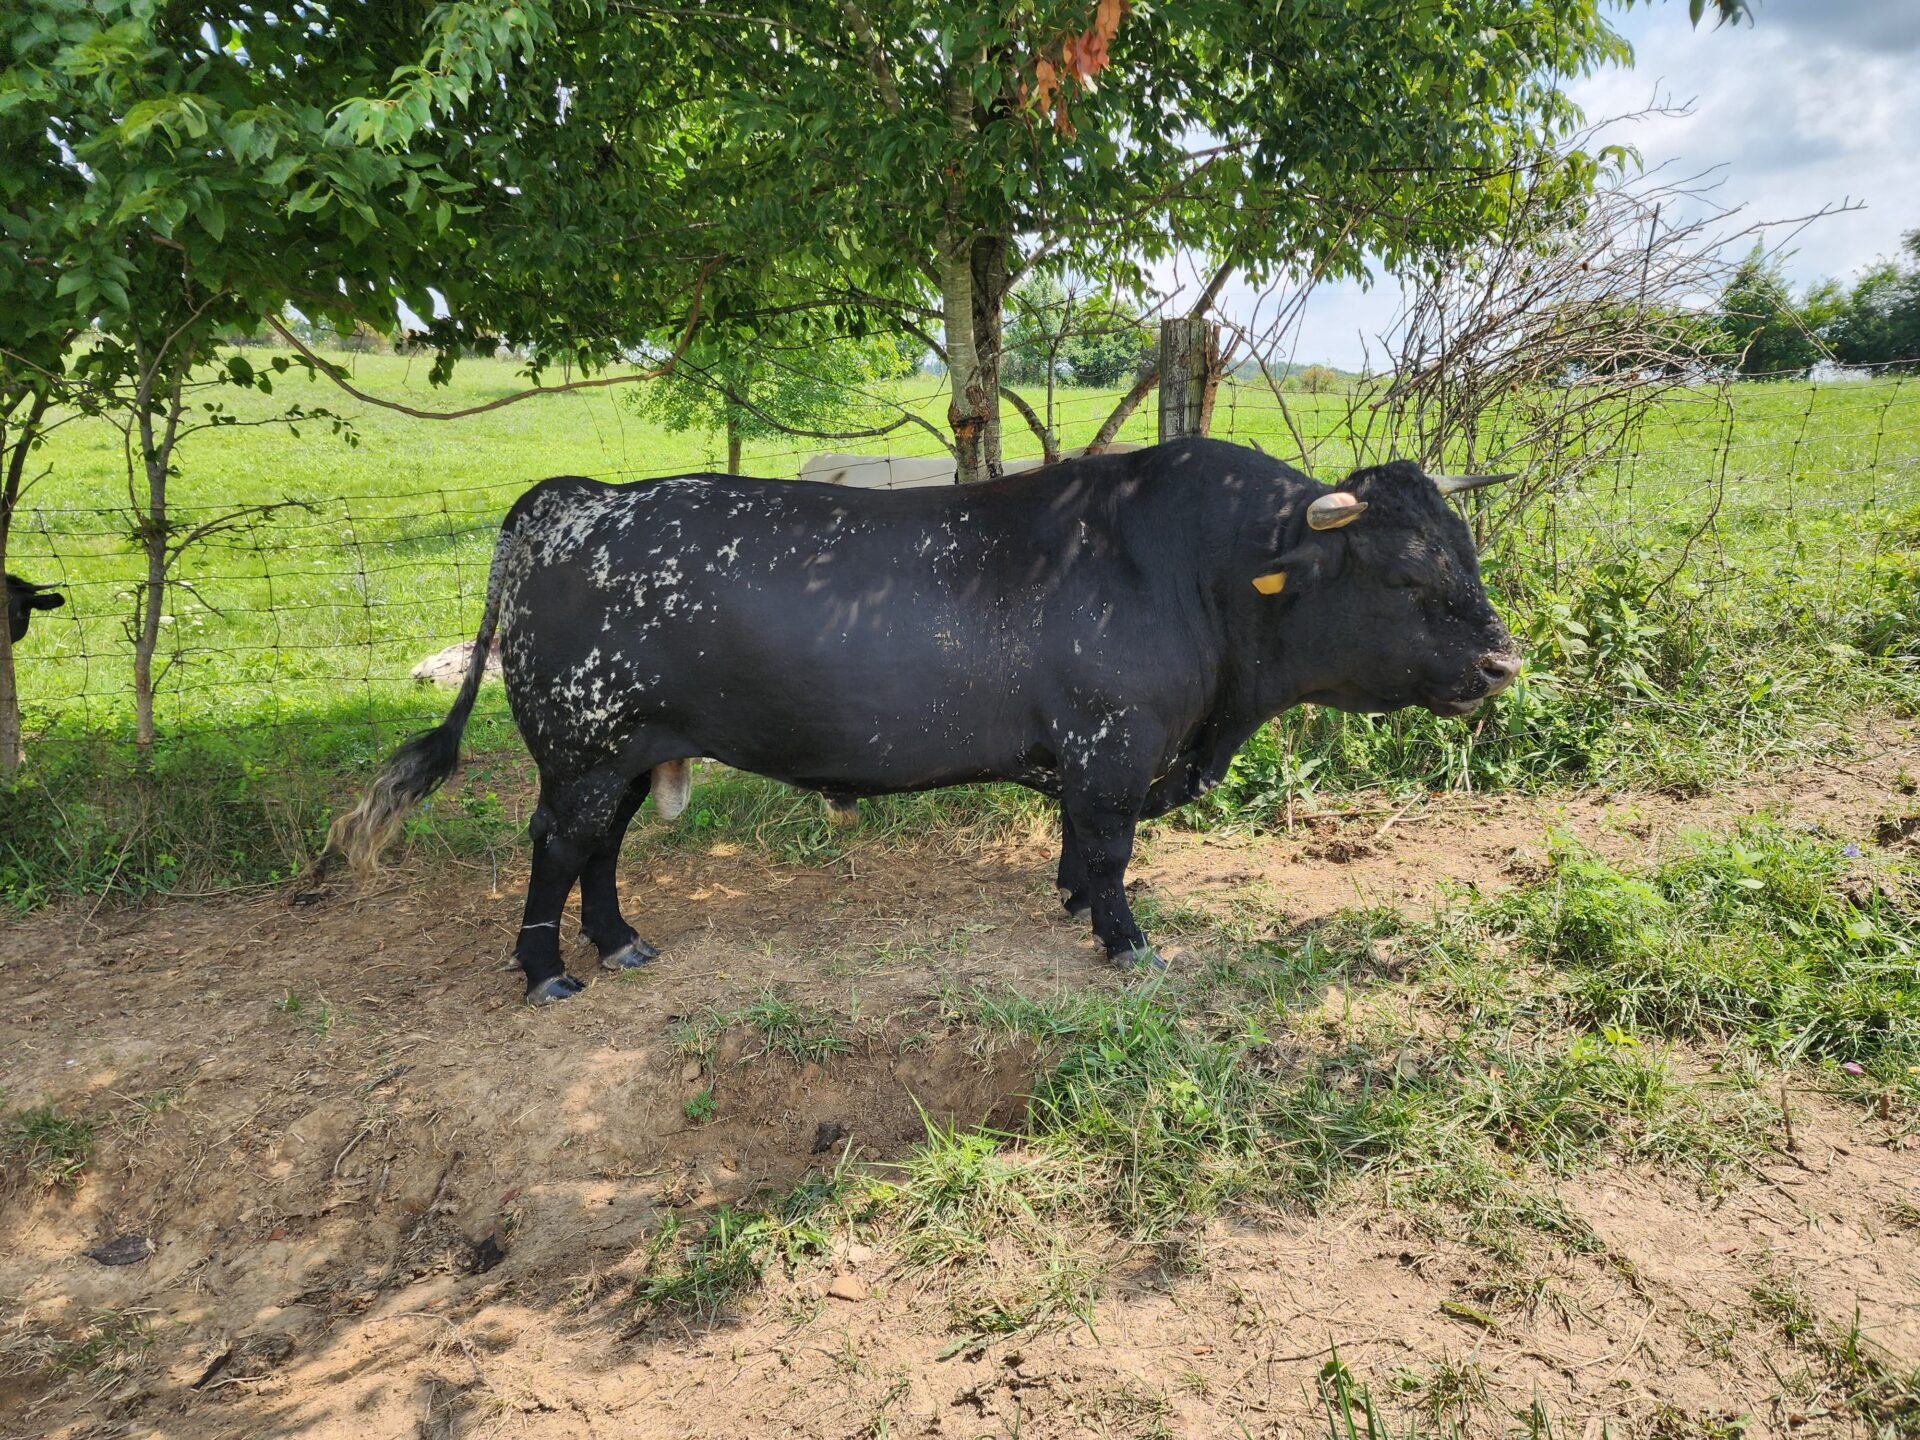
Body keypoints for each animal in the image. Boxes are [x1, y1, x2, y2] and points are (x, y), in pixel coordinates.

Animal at [328, 439, 1520, 1004]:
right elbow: (1112, 849)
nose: (1503, 661)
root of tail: (571, 498)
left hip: (627, 752)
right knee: (556, 847)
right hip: (582, 748)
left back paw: (620, 941)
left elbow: (1079, 847)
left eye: (1463, 552)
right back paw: (546, 969)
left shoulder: (1094, 757)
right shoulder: (1113, 747)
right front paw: (1126, 941)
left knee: (601, 850)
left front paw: (1072, 904)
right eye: (1407, 577)